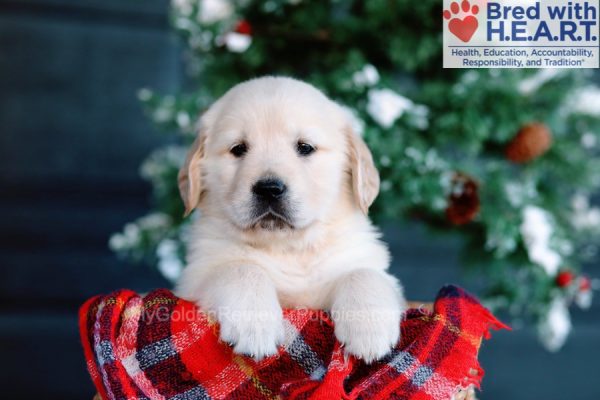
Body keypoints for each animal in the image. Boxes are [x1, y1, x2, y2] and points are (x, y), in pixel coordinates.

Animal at [176, 75, 406, 362]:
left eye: (305, 147)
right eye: (238, 149)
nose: (269, 189)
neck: (288, 247)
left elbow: (363, 273)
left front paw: (370, 331)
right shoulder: (195, 277)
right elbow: (242, 268)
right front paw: (255, 326)